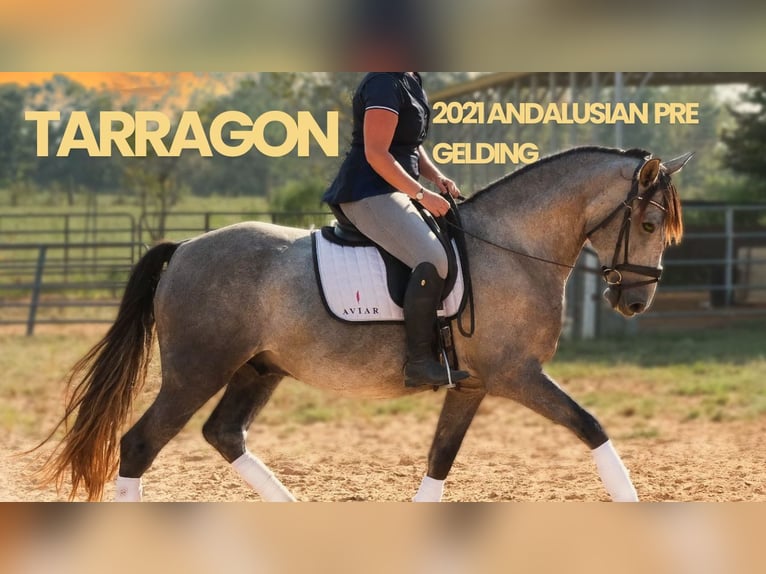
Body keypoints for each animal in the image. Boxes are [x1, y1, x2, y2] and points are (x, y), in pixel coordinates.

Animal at [37, 146, 691, 502]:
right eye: (650, 224)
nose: (636, 301)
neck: (510, 248)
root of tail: (187, 247)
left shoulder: (475, 385)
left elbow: (440, 459)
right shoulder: (517, 375)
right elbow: (591, 426)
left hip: (258, 369)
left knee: (225, 435)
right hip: (196, 372)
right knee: (140, 444)